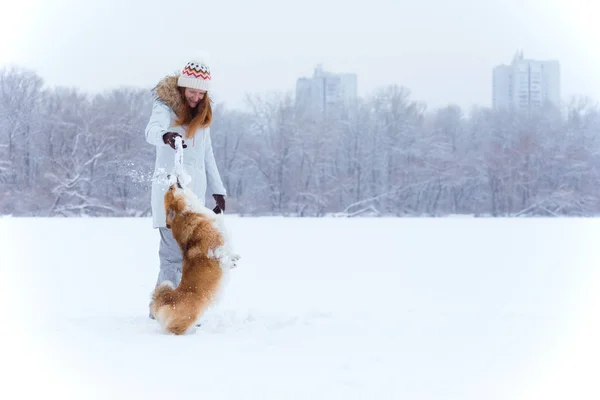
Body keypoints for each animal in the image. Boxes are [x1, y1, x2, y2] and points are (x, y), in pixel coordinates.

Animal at [149, 182, 238, 334]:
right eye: (171, 189)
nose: (172, 181)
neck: (189, 212)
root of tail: (168, 299)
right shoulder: (215, 245)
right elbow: (223, 252)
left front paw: (235, 260)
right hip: (189, 316)